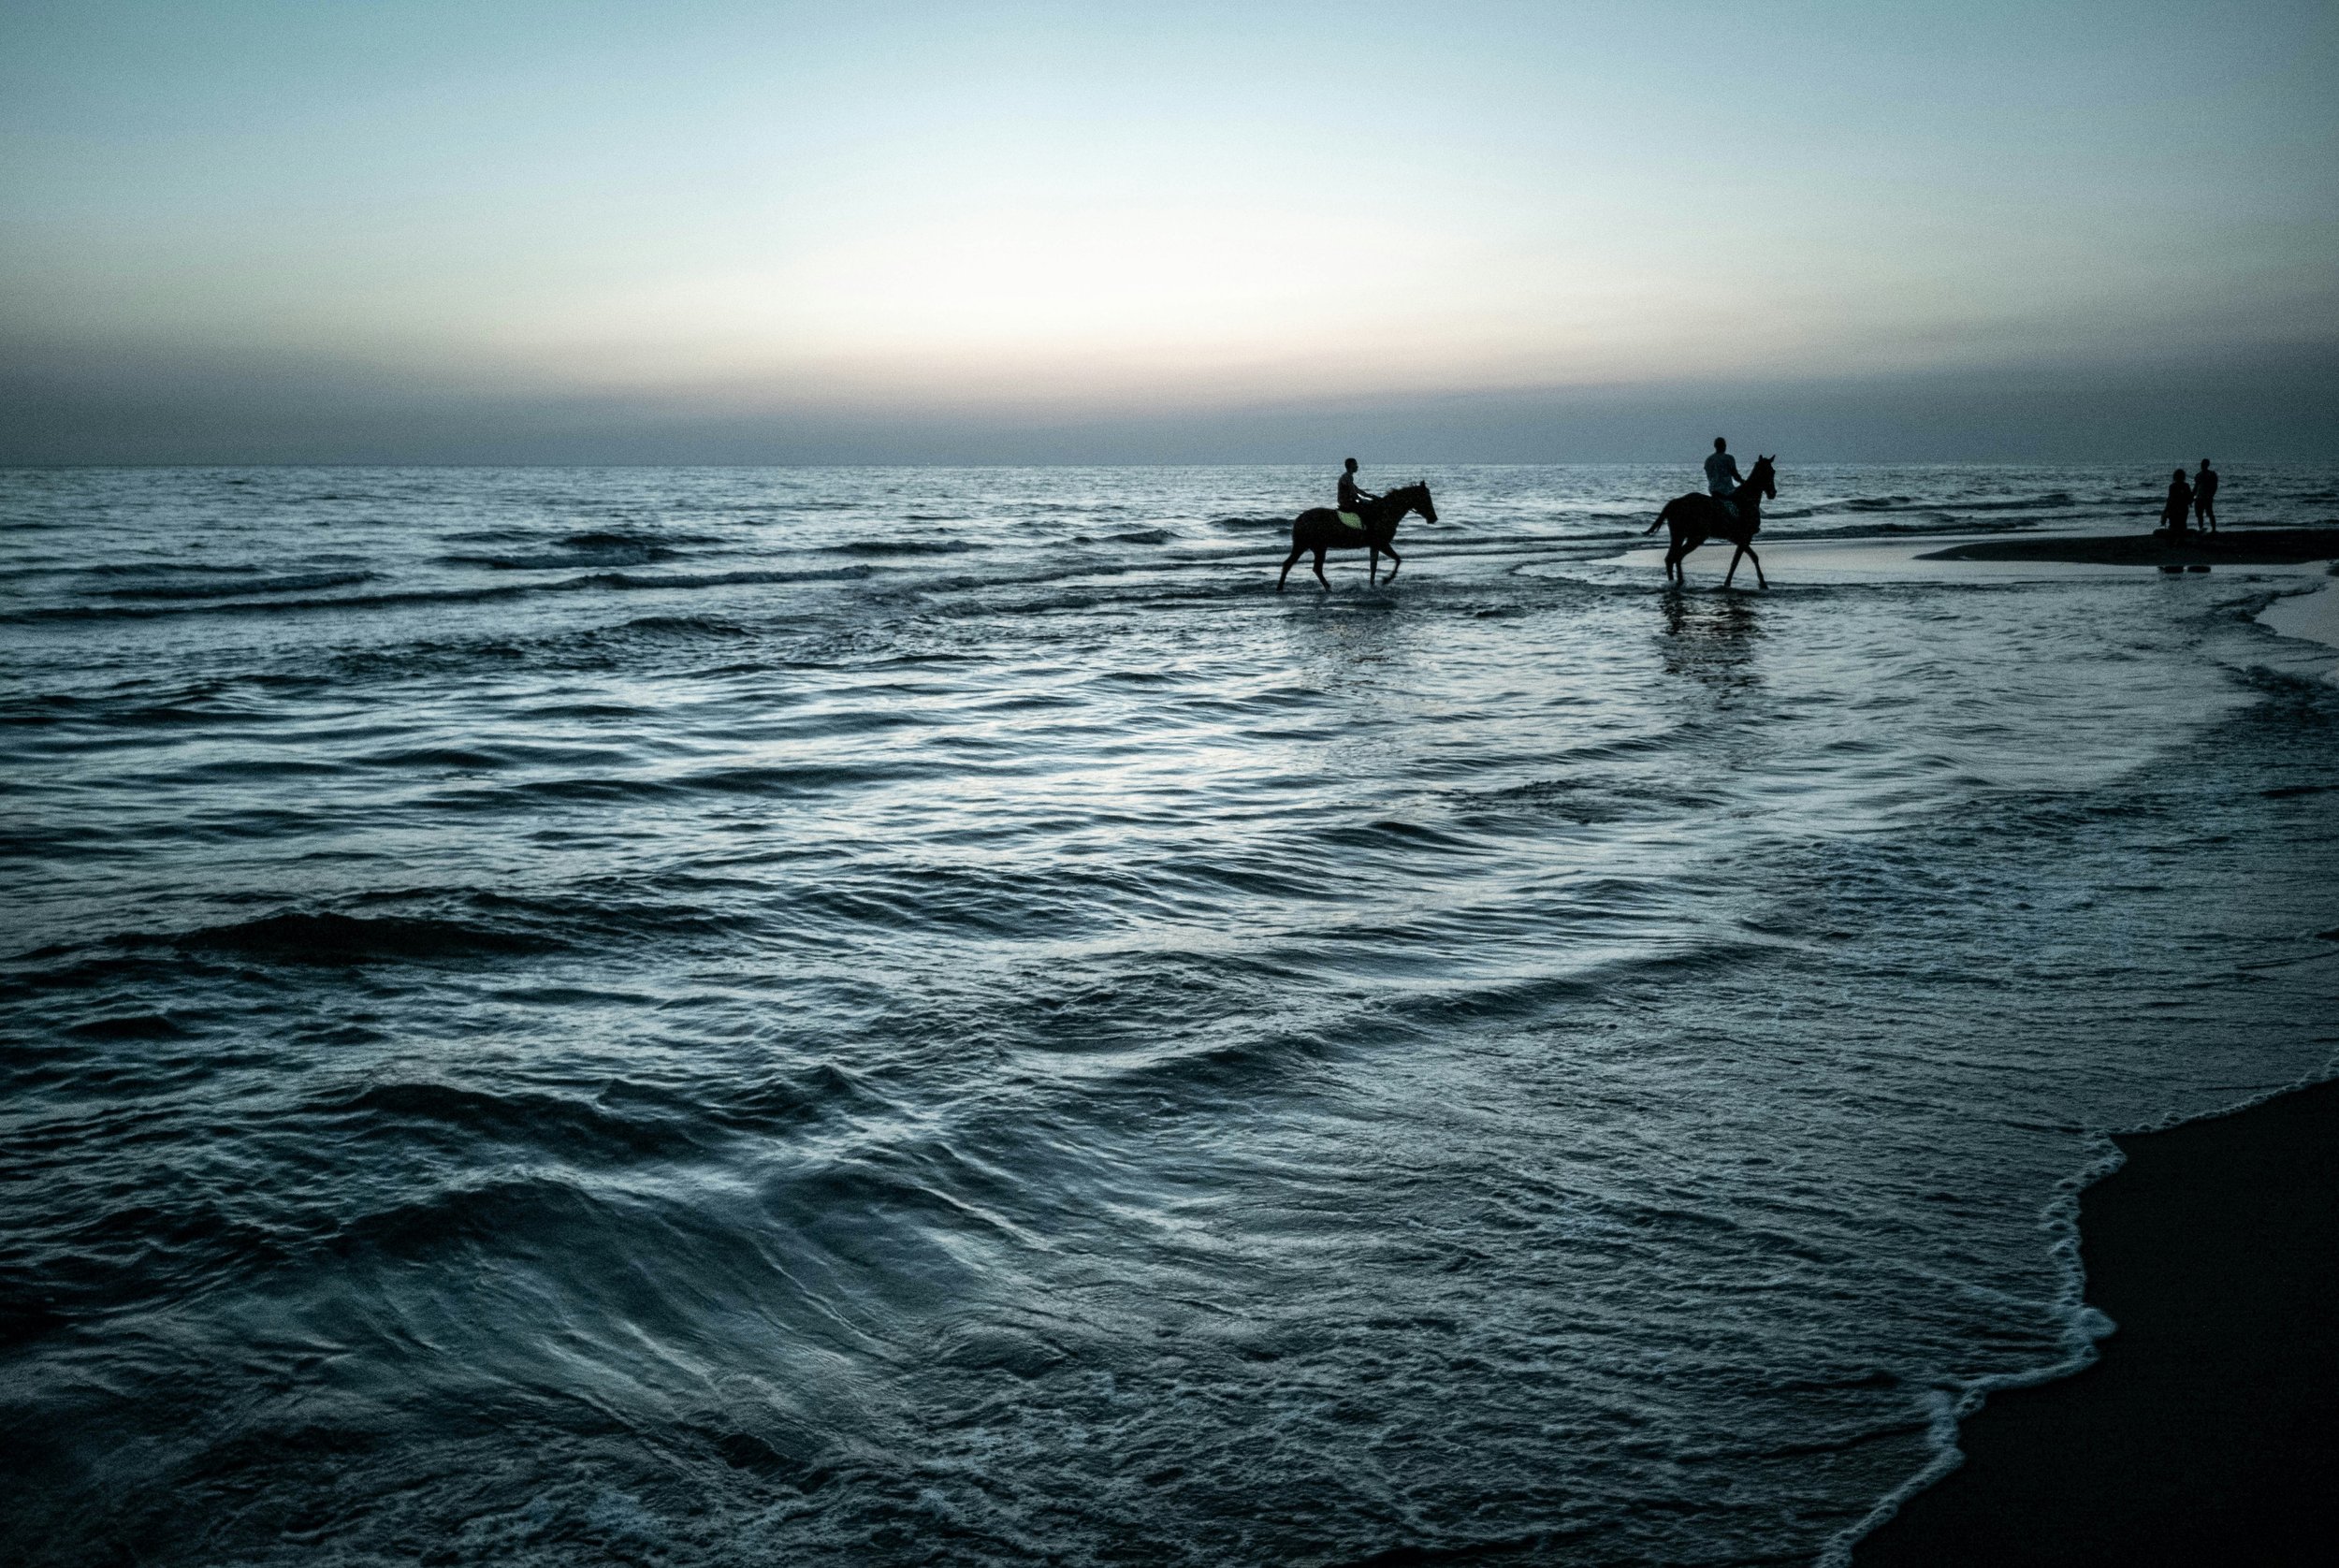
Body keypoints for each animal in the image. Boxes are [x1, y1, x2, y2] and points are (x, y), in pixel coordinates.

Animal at [1276, 482, 1438, 592]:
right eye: (1425, 499)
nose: (1433, 518)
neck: (1385, 512)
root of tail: (1299, 519)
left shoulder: (1375, 546)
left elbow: (1374, 567)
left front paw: (1373, 585)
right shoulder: (1382, 543)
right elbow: (1397, 560)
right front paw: (1386, 580)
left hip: (1310, 546)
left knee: (1300, 566)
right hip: (1312, 546)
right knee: (1307, 567)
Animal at [1645, 455, 1776, 588]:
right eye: (1771, 472)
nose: (1773, 493)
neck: (1747, 499)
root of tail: (1677, 501)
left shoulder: (1738, 539)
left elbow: (1740, 559)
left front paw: (1728, 583)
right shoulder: (1745, 537)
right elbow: (1748, 558)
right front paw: (1762, 583)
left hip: (1678, 535)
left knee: (1670, 558)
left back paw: (1673, 582)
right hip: (1696, 537)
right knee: (1677, 556)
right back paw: (1680, 581)